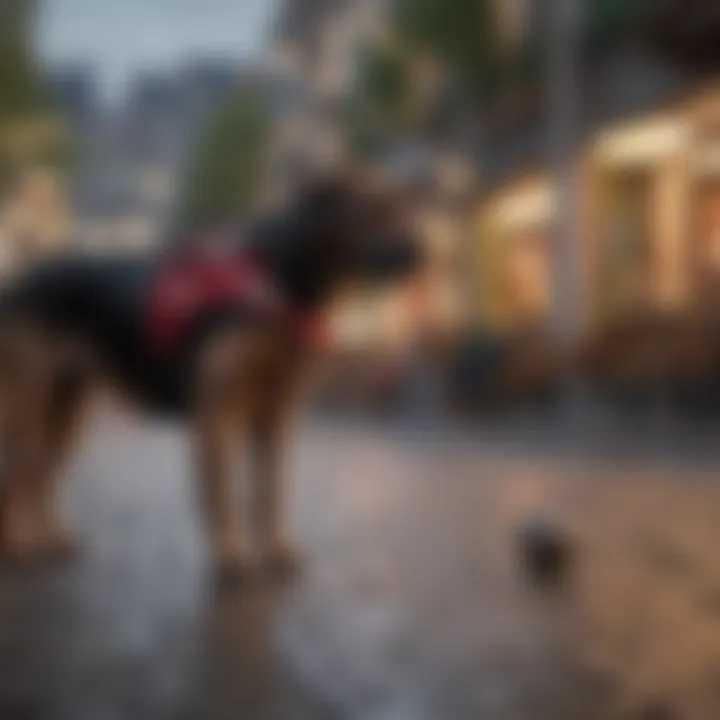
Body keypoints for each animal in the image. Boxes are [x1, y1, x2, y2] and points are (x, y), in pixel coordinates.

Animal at [0, 177, 422, 584]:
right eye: (374, 209)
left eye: (403, 206)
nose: (419, 255)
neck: (277, 279)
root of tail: (17, 285)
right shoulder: (218, 414)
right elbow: (223, 495)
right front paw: (231, 559)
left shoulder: (275, 416)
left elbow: (271, 492)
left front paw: (276, 550)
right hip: (29, 416)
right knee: (17, 481)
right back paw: (18, 547)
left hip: (63, 416)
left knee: (37, 481)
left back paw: (50, 539)